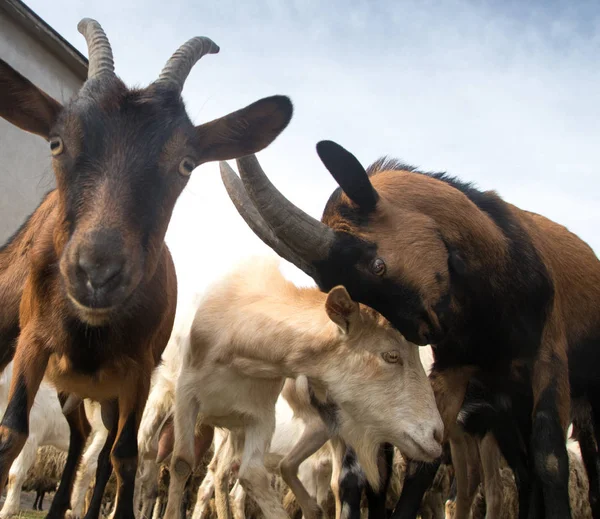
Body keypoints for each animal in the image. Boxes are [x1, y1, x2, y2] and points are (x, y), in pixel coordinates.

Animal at [0, 15, 292, 519]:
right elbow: (11, 432)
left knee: (98, 449)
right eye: (56, 142)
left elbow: (125, 457)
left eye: (186, 163)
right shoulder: (31, 343)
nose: (98, 273)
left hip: (109, 393)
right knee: (80, 438)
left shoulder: (138, 372)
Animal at [162, 258, 442, 519]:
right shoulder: (186, 395)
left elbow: (252, 474)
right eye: (391, 355)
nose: (437, 434)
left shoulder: (261, 416)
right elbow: (181, 463)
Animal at [218, 141, 600, 519]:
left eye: (378, 265)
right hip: (507, 409)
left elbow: (550, 460)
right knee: (523, 472)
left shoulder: (548, 357)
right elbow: (422, 459)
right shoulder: (453, 370)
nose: (423, 332)